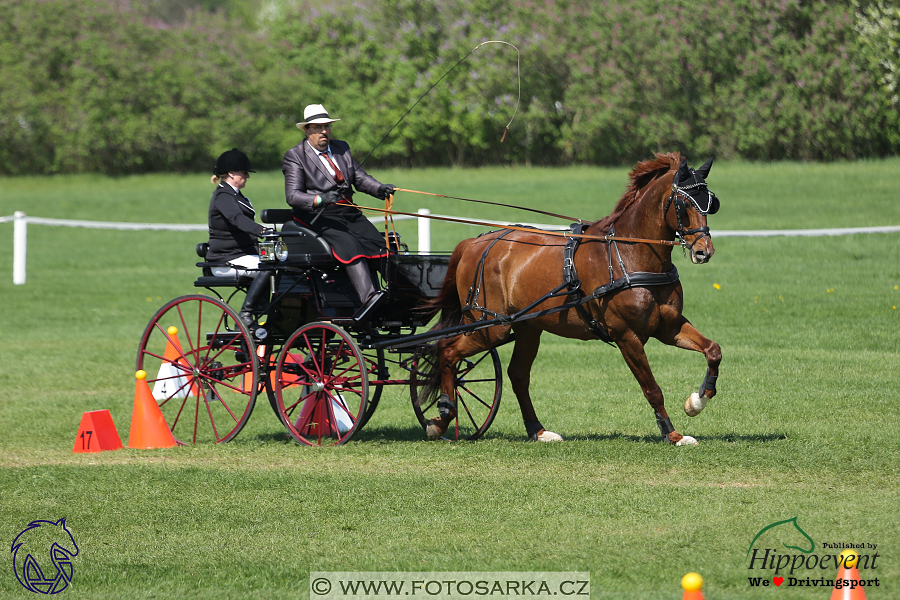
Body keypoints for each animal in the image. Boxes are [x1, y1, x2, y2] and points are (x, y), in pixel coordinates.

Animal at [418, 154, 720, 446]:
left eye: (710, 203)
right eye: (684, 204)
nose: (704, 252)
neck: (628, 254)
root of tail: (474, 243)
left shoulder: (667, 327)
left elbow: (713, 350)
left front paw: (697, 401)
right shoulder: (627, 336)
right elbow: (652, 389)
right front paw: (672, 434)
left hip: (527, 328)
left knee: (517, 375)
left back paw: (538, 431)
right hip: (490, 327)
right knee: (446, 351)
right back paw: (442, 417)